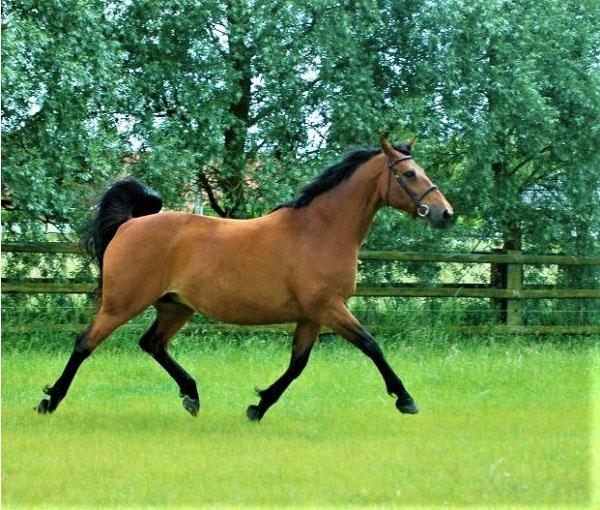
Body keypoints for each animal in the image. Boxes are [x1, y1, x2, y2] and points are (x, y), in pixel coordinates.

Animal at [36, 138, 453, 420]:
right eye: (409, 174)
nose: (444, 213)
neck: (320, 230)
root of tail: (129, 224)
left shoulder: (311, 316)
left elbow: (297, 365)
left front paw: (258, 406)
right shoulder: (329, 308)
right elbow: (371, 345)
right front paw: (405, 399)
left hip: (175, 307)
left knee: (152, 343)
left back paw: (192, 395)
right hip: (122, 304)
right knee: (84, 343)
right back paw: (49, 401)